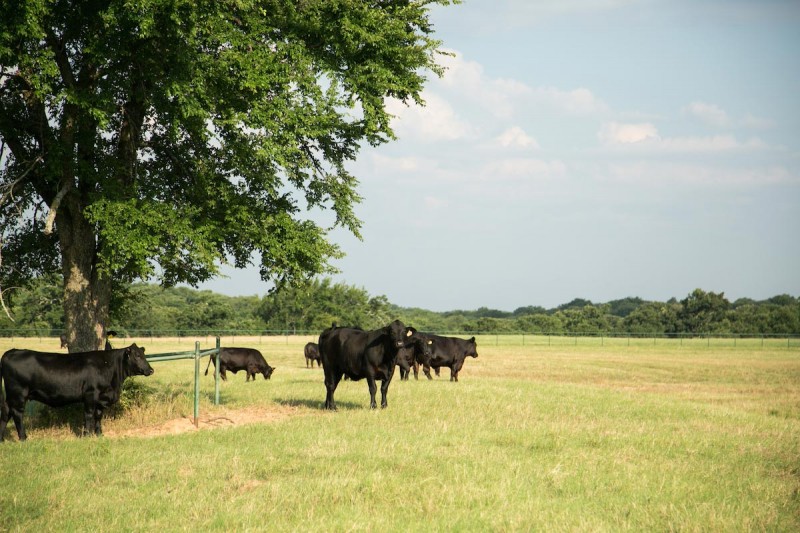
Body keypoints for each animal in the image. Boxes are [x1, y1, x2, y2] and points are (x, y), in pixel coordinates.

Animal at [0, 342, 155, 438]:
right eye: (137, 356)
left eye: (143, 355)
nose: (151, 370)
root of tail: (11, 352)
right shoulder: (90, 394)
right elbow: (89, 415)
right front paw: (87, 435)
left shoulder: (101, 397)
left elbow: (99, 416)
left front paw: (99, 434)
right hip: (19, 394)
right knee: (17, 414)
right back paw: (23, 437)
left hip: (11, 396)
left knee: (6, 413)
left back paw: (2, 439)